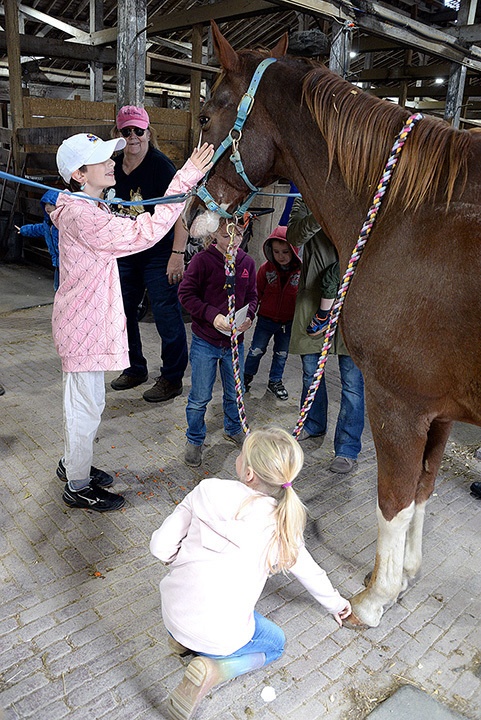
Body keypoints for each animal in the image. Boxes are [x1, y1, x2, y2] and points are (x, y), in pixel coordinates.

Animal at [185, 23, 480, 624]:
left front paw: (376, 597)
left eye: (205, 116)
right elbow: (424, 487)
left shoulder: (399, 403)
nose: (192, 216)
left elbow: (393, 498)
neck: (407, 215)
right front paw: (407, 573)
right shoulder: (439, 410)